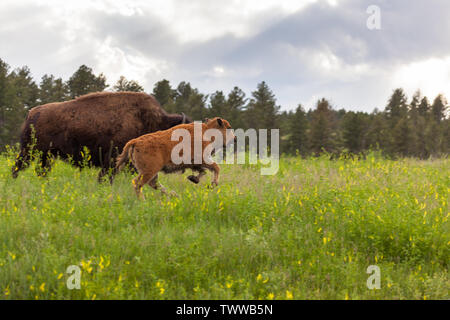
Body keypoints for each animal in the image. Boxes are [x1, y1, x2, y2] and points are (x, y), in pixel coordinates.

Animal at [11, 91, 192, 184]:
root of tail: (32, 113)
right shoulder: (112, 159)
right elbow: (106, 176)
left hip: (46, 155)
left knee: (40, 171)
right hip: (29, 152)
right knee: (18, 167)